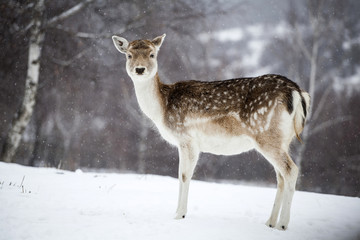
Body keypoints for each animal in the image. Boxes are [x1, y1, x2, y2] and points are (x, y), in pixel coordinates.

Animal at [112, 34, 310, 231]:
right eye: (129, 55)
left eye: (152, 54)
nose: (139, 69)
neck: (162, 108)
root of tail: (297, 93)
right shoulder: (187, 143)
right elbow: (181, 175)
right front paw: (178, 213)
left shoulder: (187, 138)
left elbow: (184, 175)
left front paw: (179, 214)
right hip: (283, 139)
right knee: (280, 176)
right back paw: (270, 222)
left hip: (266, 135)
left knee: (291, 170)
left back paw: (282, 224)